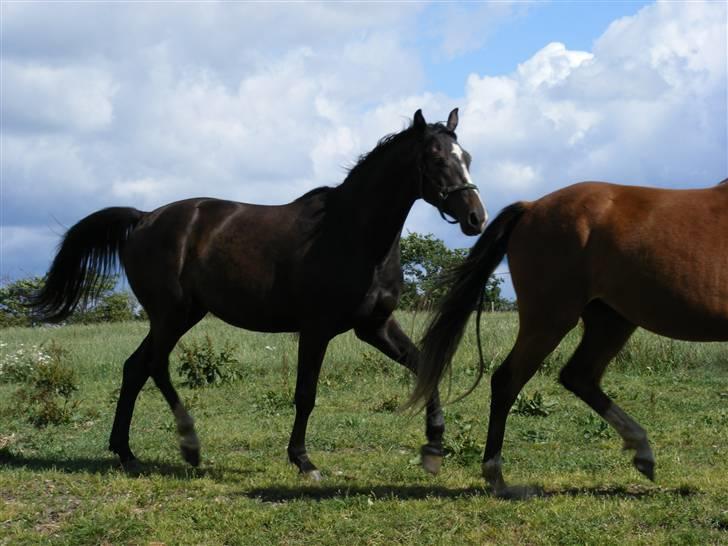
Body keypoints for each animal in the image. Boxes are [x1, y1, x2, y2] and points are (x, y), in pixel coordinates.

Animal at [35, 107, 490, 476]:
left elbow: (426, 367)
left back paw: (126, 452)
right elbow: (305, 395)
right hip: (170, 315)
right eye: (436, 159)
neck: (352, 234)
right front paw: (303, 461)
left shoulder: (375, 326)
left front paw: (434, 446)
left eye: (467, 158)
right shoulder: (316, 329)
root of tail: (144, 218)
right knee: (155, 366)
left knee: (135, 368)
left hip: (183, 315)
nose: (476, 218)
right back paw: (189, 446)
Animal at [410, 177, 728, 492]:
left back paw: (641, 451)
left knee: (578, 376)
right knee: (507, 381)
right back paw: (496, 477)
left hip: (610, 321)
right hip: (550, 319)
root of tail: (530, 207)